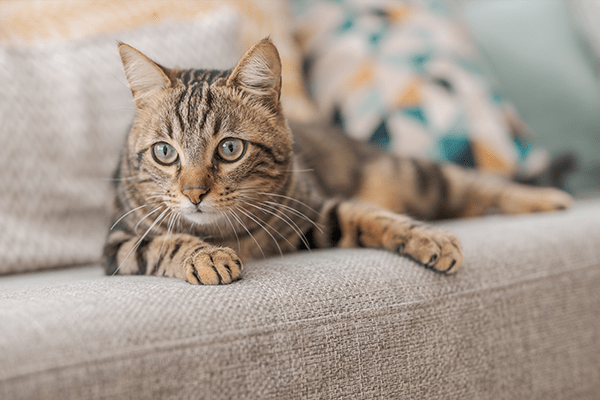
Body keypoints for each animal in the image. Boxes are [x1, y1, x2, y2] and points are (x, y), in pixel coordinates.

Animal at [102, 39, 572, 284]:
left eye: (230, 149)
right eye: (165, 152)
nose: (194, 193)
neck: (225, 232)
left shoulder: (316, 213)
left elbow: (371, 216)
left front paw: (427, 238)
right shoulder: (117, 245)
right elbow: (165, 242)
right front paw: (206, 257)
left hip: (414, 175)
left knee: (477, 185)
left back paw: (544, 198)